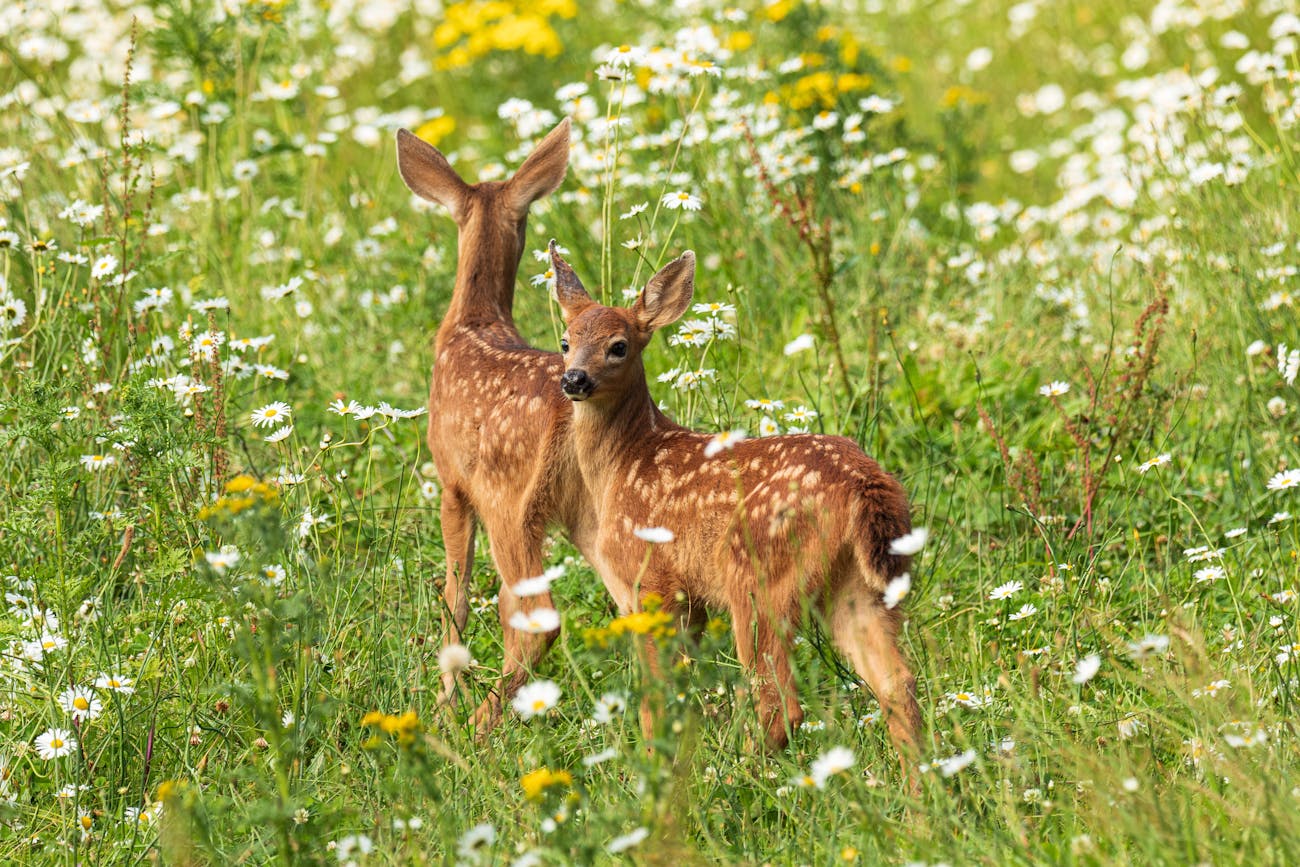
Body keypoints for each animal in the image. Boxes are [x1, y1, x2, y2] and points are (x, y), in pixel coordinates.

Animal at [395, 118, 598, 738]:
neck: (474, 321)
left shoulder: (452, 483)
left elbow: (455, 596)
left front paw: (444, 704)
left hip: (510, 503)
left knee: (538, 618)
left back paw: (478, 728)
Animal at [548, 240, 925, 774]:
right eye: (565, 341)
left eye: (618, 346)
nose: (574, 379)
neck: (626, 463)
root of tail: (863, 482)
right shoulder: (690, 603)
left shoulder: (651, 584)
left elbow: (656, 698)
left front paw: (655, 767)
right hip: (856, 584)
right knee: (896, 682)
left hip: (757, 577)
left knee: (779, 700)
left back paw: (740, 775)